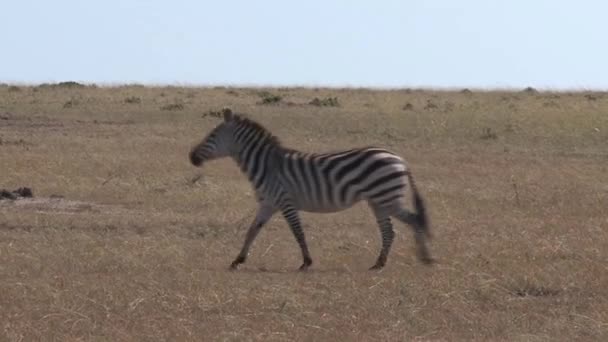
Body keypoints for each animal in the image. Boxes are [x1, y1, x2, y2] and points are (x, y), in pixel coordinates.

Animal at [190, 108, 432, 272]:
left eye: (211, 136)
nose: (191, 157)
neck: (267, 166)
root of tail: (400, 159)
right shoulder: (268, 204)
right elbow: (252, 230)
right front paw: (237, 260)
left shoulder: (285, 201)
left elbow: (298, 232)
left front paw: (306, 262)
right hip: (378, 200)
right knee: (390, 230)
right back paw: (380, 263)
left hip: (386, 197)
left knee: (413, 220)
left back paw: (424, 257)